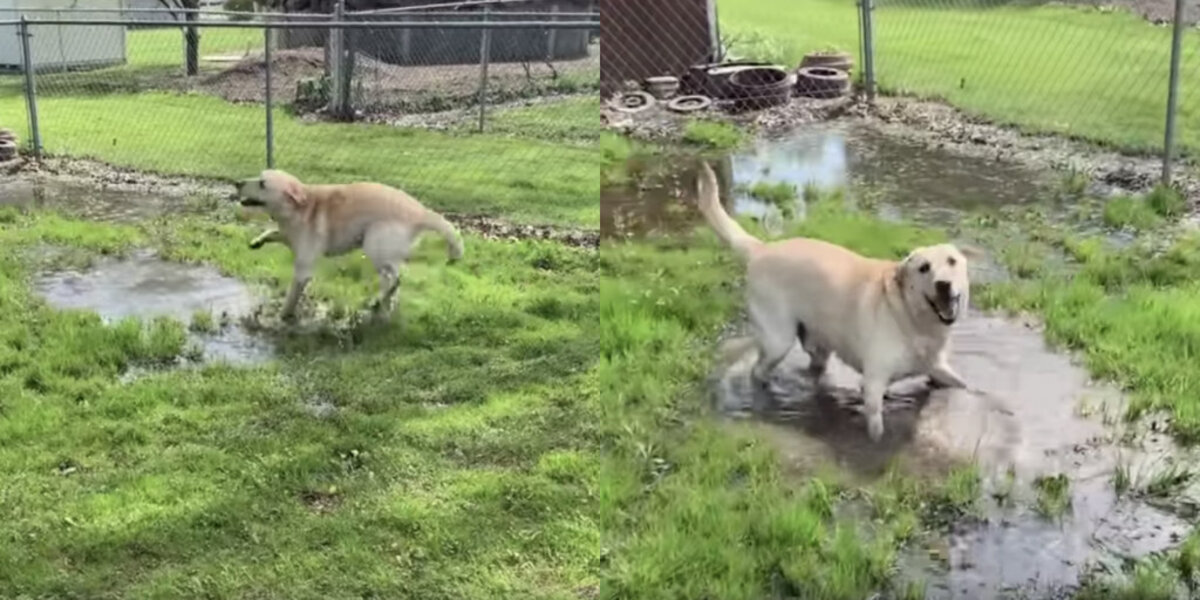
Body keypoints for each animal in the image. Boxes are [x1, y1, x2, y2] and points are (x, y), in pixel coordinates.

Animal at [234, 169, 463, 324]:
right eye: (259, 177)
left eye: (263, 184)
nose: (237, 182)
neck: (299, 208)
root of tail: (420, 211)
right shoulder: (288, 235)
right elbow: (273, 233)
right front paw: (258, 241)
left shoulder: (303, 267)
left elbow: (292, 294)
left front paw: (283, 315)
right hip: (383, 251)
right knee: (393, 279)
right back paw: (384, 304)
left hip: (374, 243)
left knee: (394, 278)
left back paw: (378, 300)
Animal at [696, 162, 974, 444]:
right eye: (923, 268)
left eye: (952, 261)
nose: (943, 284)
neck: (912, 318)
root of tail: (762, 249)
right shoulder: (872, 384)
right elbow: (876, 428)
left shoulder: (937, 368)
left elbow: (964, 385)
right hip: (778, 341)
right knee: (758, 370)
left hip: (818, 343)